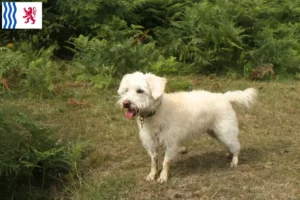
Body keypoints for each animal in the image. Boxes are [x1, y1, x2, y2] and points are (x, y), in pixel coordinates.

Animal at [117, 72, 258, 183]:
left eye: (140, 91)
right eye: (126, 90)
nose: (126, 103)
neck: (156, 111)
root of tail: (225, 96)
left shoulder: (172, 143)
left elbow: (165, 162)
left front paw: (163, 177)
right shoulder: (150, 142)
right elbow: (153, 161)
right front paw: (152, 175)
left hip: (225, 131)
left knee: (236, 146)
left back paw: (234, 161)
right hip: (216, 132)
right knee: (230, 145)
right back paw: (229, 154)